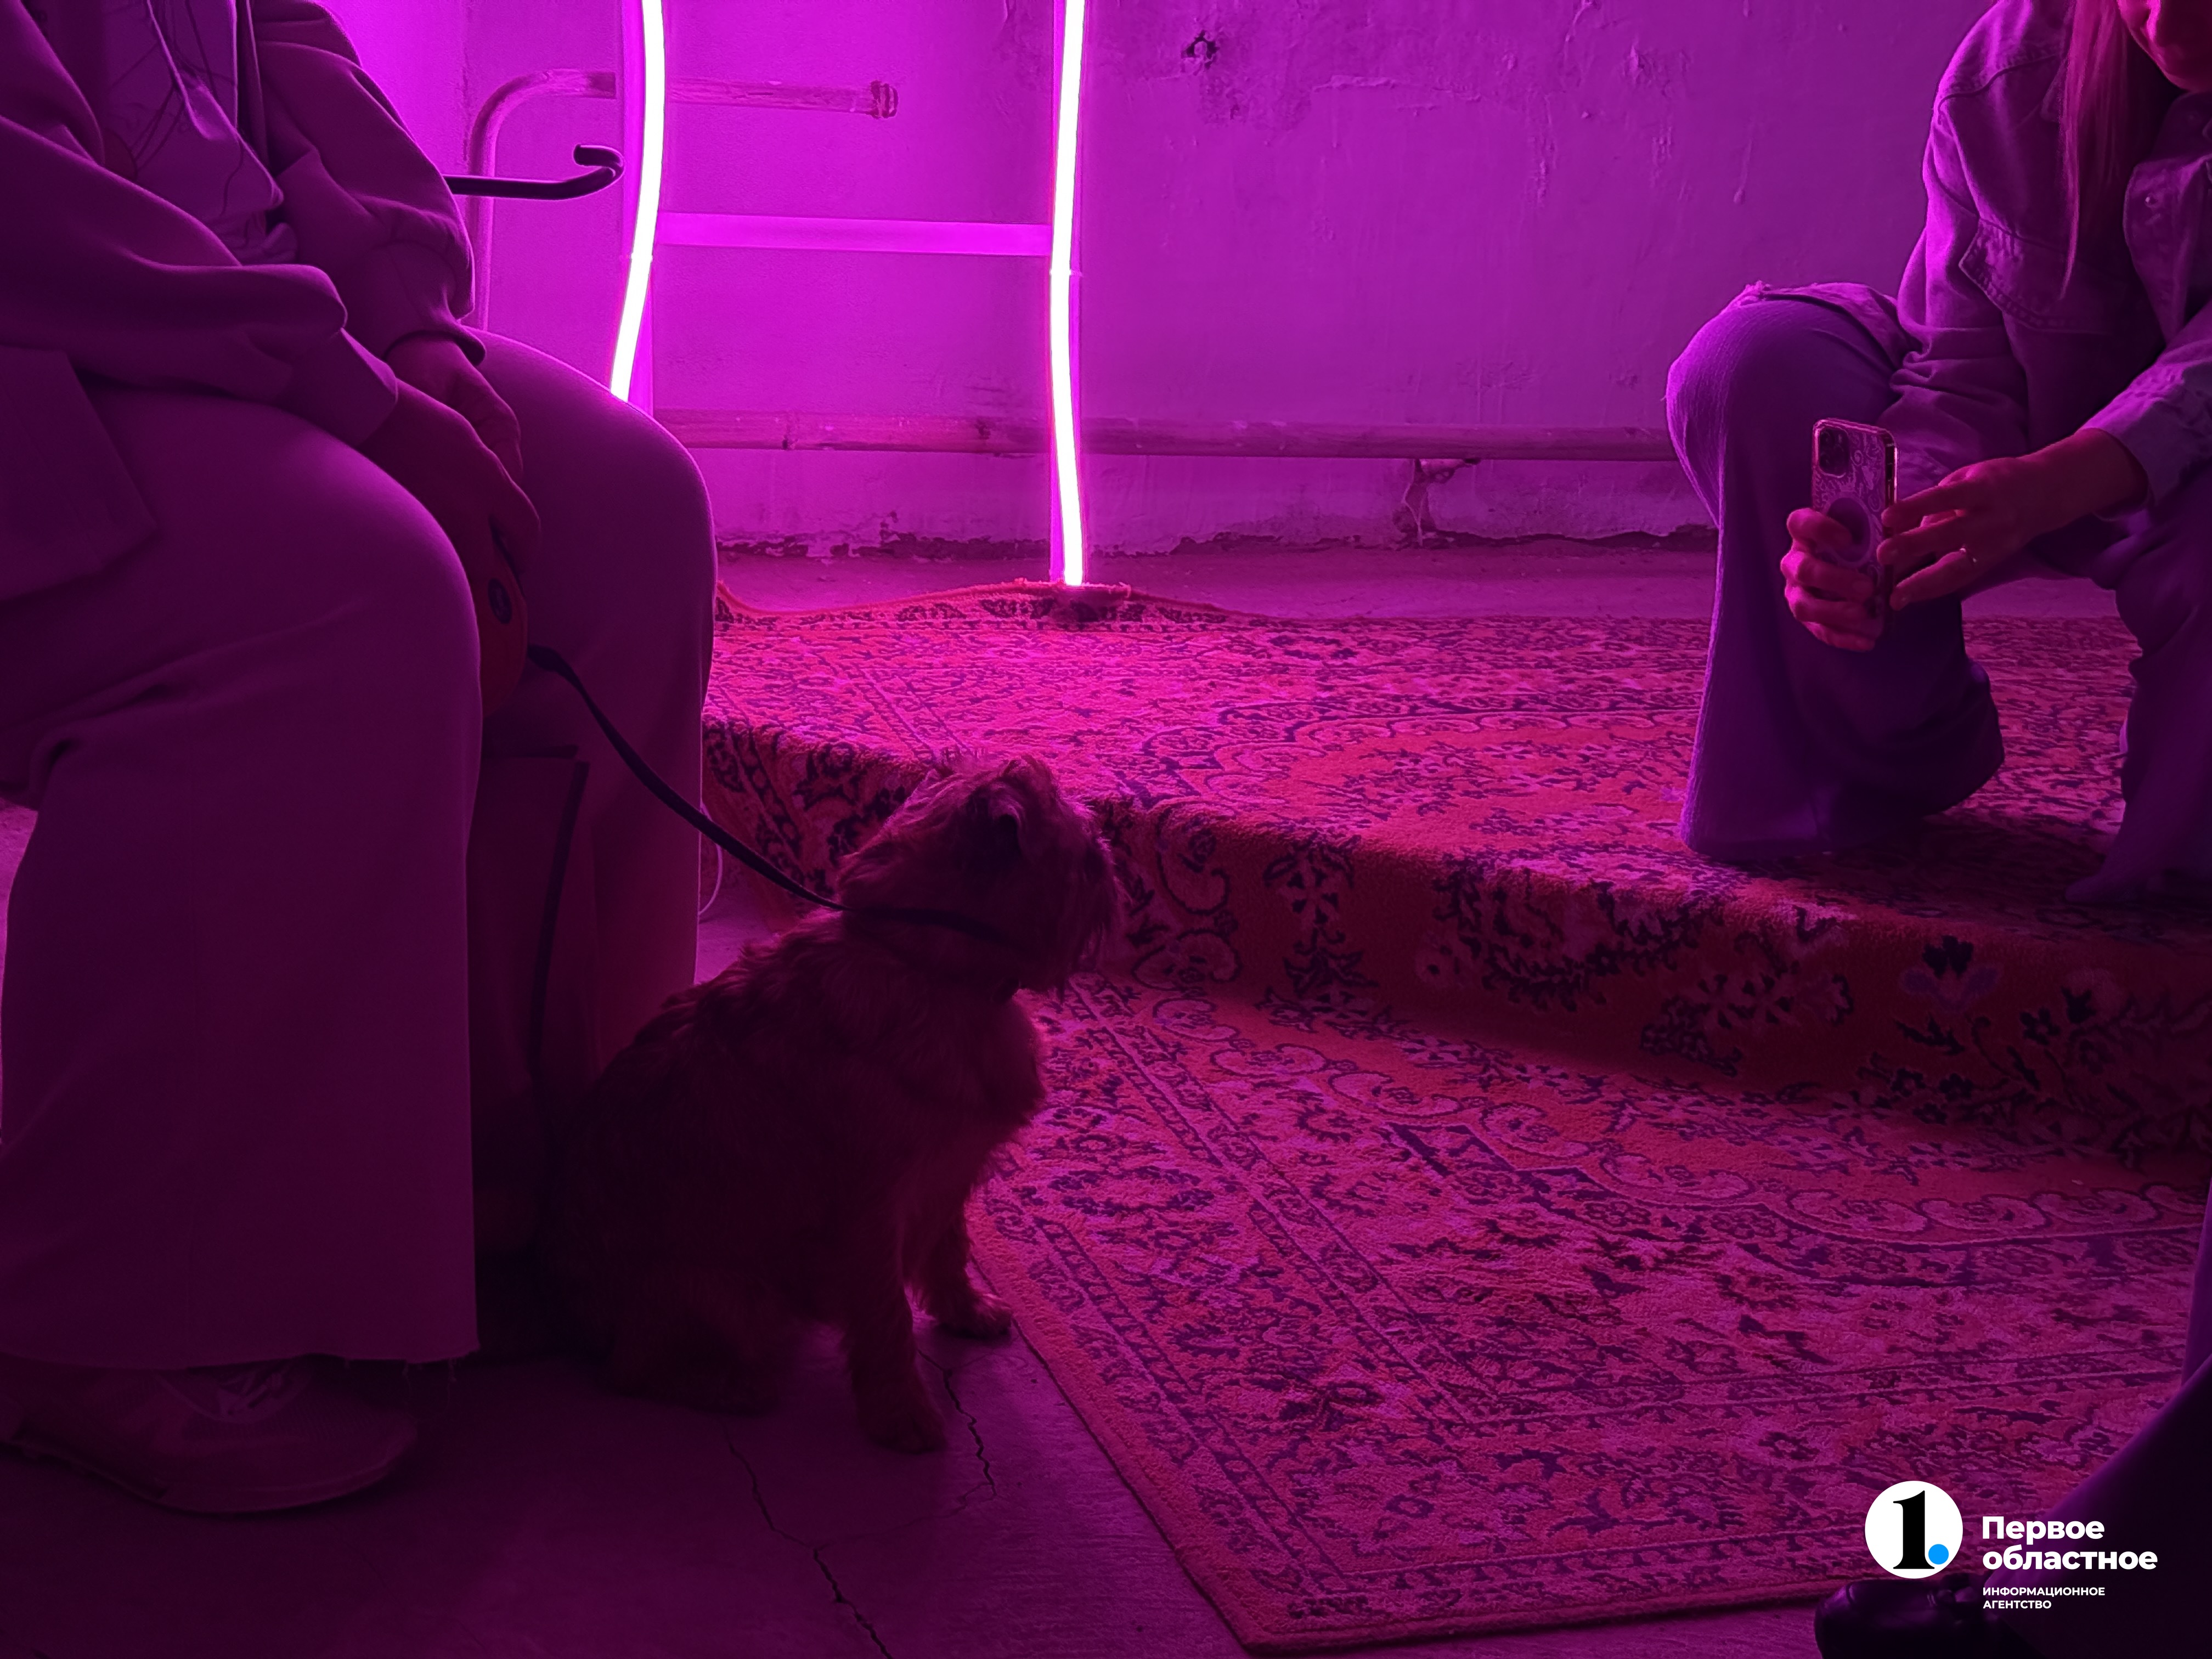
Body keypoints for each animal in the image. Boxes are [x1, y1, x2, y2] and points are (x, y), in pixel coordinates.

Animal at [539, 755, 1121, 1451]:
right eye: (1087, 857)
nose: (1111, 854)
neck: (924, 963)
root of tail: (566, 1312)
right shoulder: (871, 1213)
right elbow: (885, 1313)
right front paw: (901, 1412)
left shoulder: (947, 1177)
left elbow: (949, 1248)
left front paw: (964, 1310)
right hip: (731, 1293)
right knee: (630, 1369)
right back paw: (736, 1387)